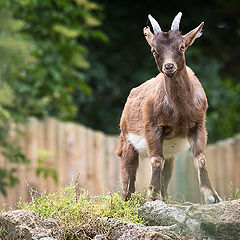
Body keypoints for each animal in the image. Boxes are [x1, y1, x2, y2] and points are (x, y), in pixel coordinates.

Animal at [116, 12, 221, 203]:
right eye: (154, 50)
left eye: (182, 46)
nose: (169, 66)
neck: (180, 113)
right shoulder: (152, 126)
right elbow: (156, 160)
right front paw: (152, 196)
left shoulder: (198, 124)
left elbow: (200, 158)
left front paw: (212, 196)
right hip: (126, 141)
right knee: (128, 172)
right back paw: (129, 200)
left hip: (169, 150)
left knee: (167, 171)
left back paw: (164, 198)